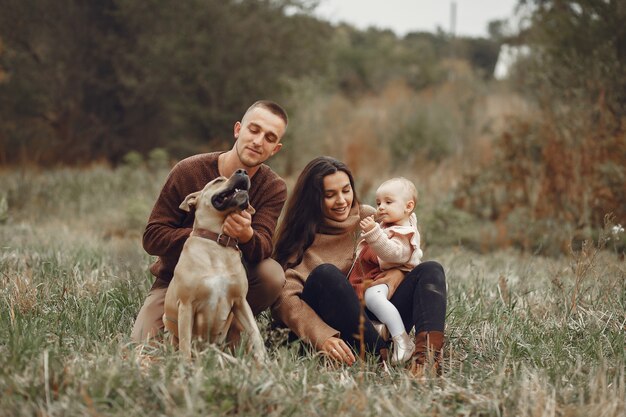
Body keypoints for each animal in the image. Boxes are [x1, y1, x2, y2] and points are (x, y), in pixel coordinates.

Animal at [161, 169, 266, 360]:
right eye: (217, 180)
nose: (243, 171)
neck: (217, 243)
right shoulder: (186, 305)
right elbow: (185, 344)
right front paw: (184, 366)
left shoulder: (241, 302)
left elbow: (256, 334)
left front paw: (264, 362)